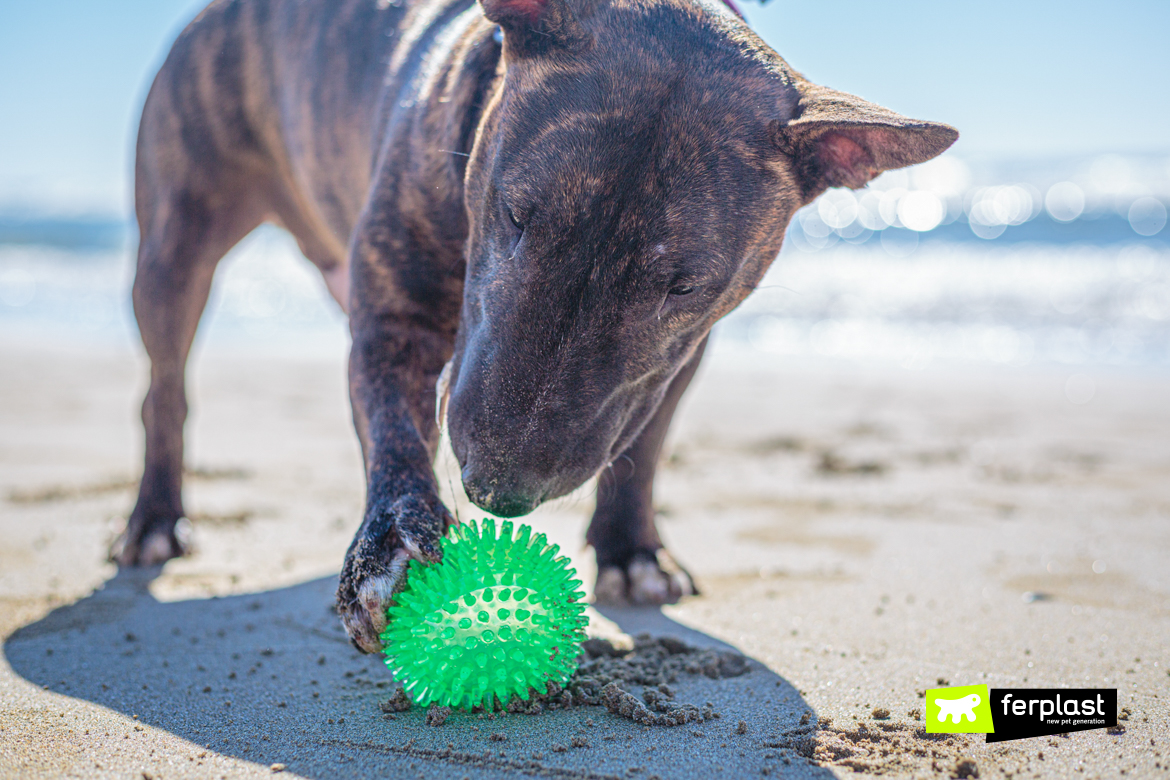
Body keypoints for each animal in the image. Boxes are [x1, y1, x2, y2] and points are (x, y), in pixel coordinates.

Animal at [109, 0, 954, 654]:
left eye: (684, 285)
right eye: (516, 214)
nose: (497, 490)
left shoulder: (678, 357)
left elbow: (643, 442)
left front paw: (633, 551)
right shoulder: (393, 316)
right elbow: (391, 424)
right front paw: (389, 553)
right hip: (176, 241)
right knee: (164, 388)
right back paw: (154, 519)